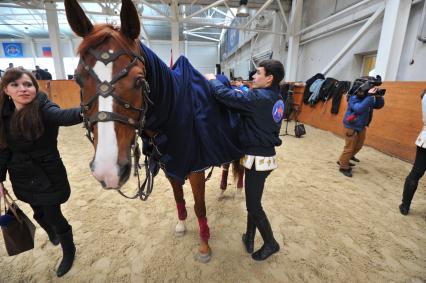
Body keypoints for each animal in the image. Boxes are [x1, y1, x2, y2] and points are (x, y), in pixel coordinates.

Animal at [64, 0, 243, 264]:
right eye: (77, 79)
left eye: (139, 80)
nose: (108, 170)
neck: (175, 111)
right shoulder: (171, 167)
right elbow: (179, 197)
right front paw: (181, 224)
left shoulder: (195, 169)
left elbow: (200, 207)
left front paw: (204, 245)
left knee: (237, 164)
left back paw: (235, 189)